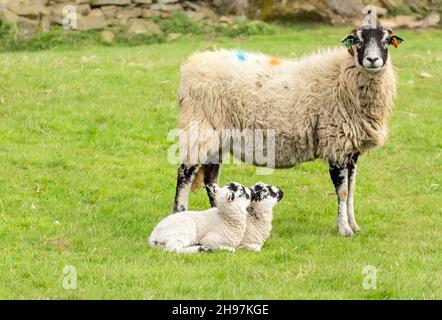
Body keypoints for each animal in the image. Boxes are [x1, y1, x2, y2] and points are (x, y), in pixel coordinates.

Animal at [172, 25, 404, 236]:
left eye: (386, 40)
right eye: (357, 40)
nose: (372, 60)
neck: (341, 75)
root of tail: (191, 66)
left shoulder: (351, 149)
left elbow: (352, 189)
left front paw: (354, 225)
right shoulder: (335, 143)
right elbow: (344, 191)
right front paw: (345, 229)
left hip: (218, 136)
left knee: (210, 180)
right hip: (200, 127)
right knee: (185, 173)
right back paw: (179, 212)